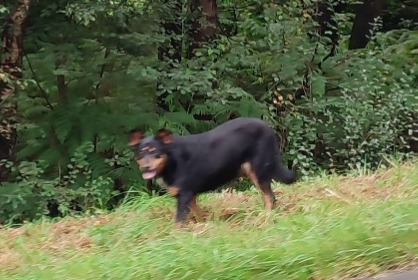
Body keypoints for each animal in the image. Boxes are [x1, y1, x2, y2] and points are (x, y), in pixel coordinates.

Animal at [129, 117, 296, 226]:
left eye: (155, 152)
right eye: (141, 153)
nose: (146, 167)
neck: (171, 160)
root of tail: (267, 127)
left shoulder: (185, 194)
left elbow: (178, 221)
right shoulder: (188, 195)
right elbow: (198, 212)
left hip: (257, 169)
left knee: (269, 196)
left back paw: (264, 217)